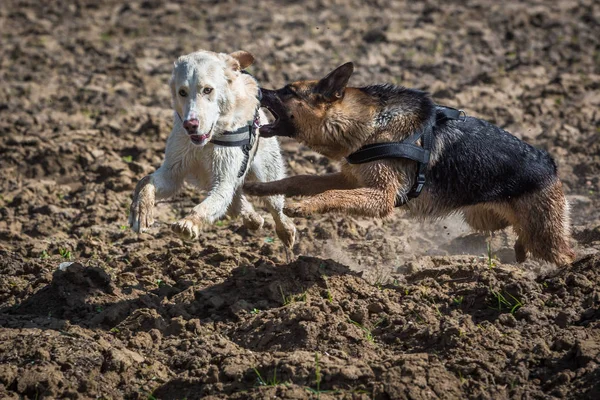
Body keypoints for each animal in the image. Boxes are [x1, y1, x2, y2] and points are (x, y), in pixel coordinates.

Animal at [128, 50, 296, 250]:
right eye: (182, 92)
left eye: (207, 90)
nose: (190, 125)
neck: (208, 141)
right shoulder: (174, 171)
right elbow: (145, 181)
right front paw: (140, 212)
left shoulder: (223, 178)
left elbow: (208, 205)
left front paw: (188, 223)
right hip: (208, 179)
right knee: (235, 199)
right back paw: (251, 217)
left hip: (267, 172)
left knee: (274, 205)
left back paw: (286, 231)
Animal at [244, 62, 576, 268]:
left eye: (287, 91)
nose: (255, 87)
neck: (370, 125)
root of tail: (551, 163)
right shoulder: (352, 179)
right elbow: (298, 180)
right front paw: (258, 188)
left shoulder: (381, 197)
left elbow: (331, 196)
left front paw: (304, 207)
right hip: (482, 218)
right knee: (516, 231)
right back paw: (519, 253)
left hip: (543, 234)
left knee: (563, 253)